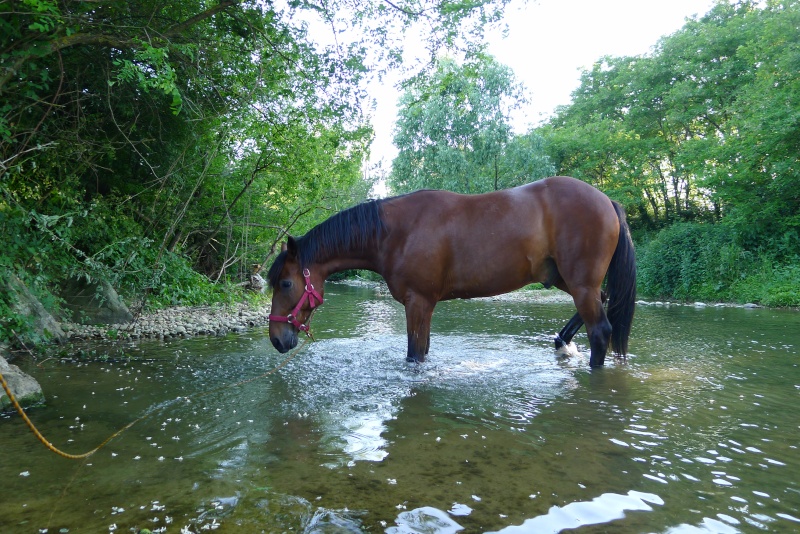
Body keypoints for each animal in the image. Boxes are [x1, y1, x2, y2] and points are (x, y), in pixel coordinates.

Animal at [268, 176, 636, 368]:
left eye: (285, 283)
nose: (277, 340)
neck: (395, 232)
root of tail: (607, 201)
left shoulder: (418, 303)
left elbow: (414, 355)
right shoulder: (424, 307)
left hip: (580, 282)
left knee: (601, 330)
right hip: (565, 279)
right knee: (600, 302)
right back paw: (562, 342)